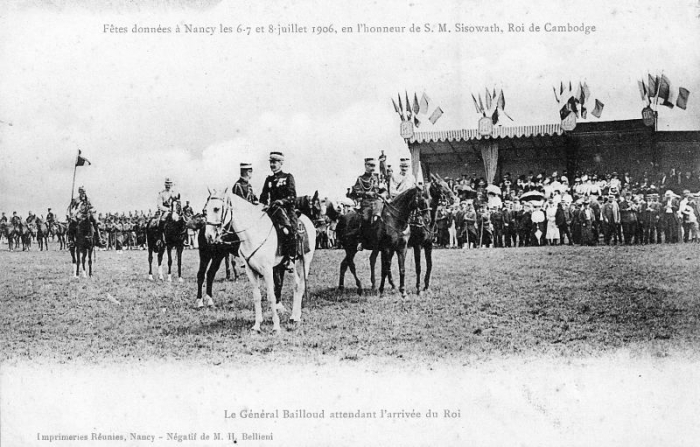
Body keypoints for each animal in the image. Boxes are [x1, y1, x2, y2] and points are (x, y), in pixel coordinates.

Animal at [204, 188, 316, 332]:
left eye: (217, 208)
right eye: (206, 210)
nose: (208, 236)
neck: (253, 233)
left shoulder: (268, 270)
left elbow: (271, 296)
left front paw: (276, 326)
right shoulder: (251, 270)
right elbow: (257, 297)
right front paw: (257, 325)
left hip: (304, 261)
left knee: (301, 286)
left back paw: (297, 317)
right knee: (296, 285)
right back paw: (293, 316)